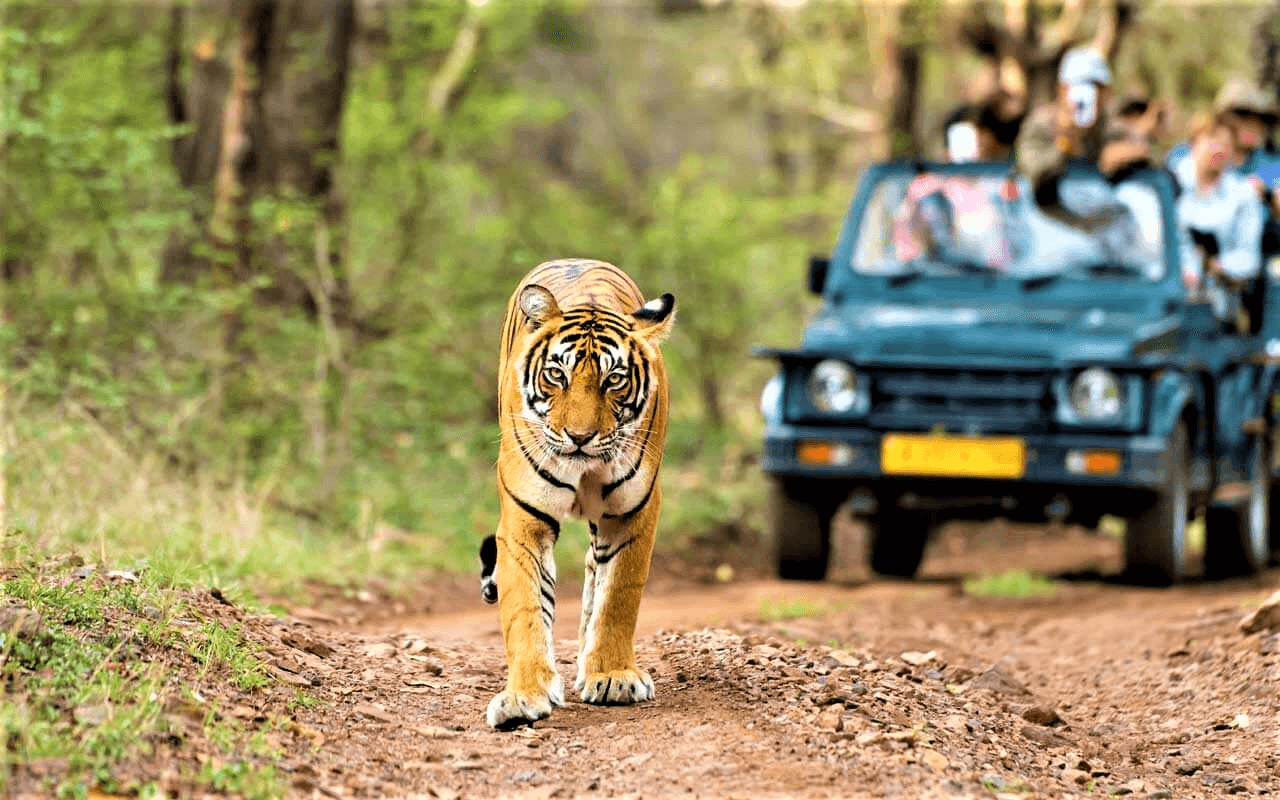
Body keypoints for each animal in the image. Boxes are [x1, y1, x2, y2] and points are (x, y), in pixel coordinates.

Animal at [482, 258, 675, 730]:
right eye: (557, 374)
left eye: (614, 380)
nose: (580, 437)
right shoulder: (523, 520)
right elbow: (525, 607)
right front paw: (523, 696)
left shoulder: (633, 513)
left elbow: (618, 596)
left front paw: (612, 676)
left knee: (594, 575)